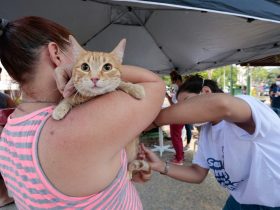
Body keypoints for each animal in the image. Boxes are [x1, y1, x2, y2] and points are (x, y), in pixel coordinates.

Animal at [52, 36, 151, 180]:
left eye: (107, 67)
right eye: (85, 67)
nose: (94, 78)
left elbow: (120, 83)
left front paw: (135, 88)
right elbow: (68, 98)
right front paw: (60, 108)